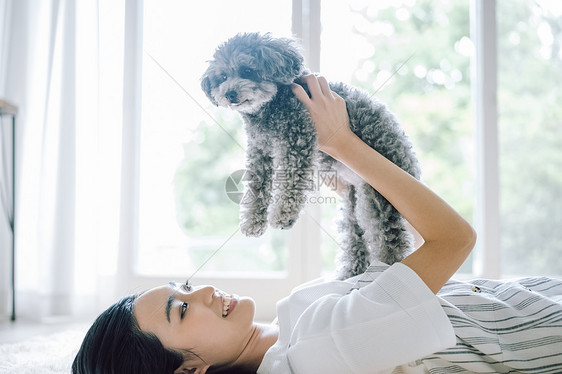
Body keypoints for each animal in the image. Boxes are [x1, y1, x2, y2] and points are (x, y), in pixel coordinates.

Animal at [199, 32, 418, 280]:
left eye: (246, 70)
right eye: (223, 76)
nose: (229, 93)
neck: (267, 109)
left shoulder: (296, 138)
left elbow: (290, 183)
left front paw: (282, 215)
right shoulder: (259, 152)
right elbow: (256, 189)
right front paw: (253, 222)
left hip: (378, 198)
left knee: (390, 239)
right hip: (352, 205)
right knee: (356, 236)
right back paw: (350, 272)